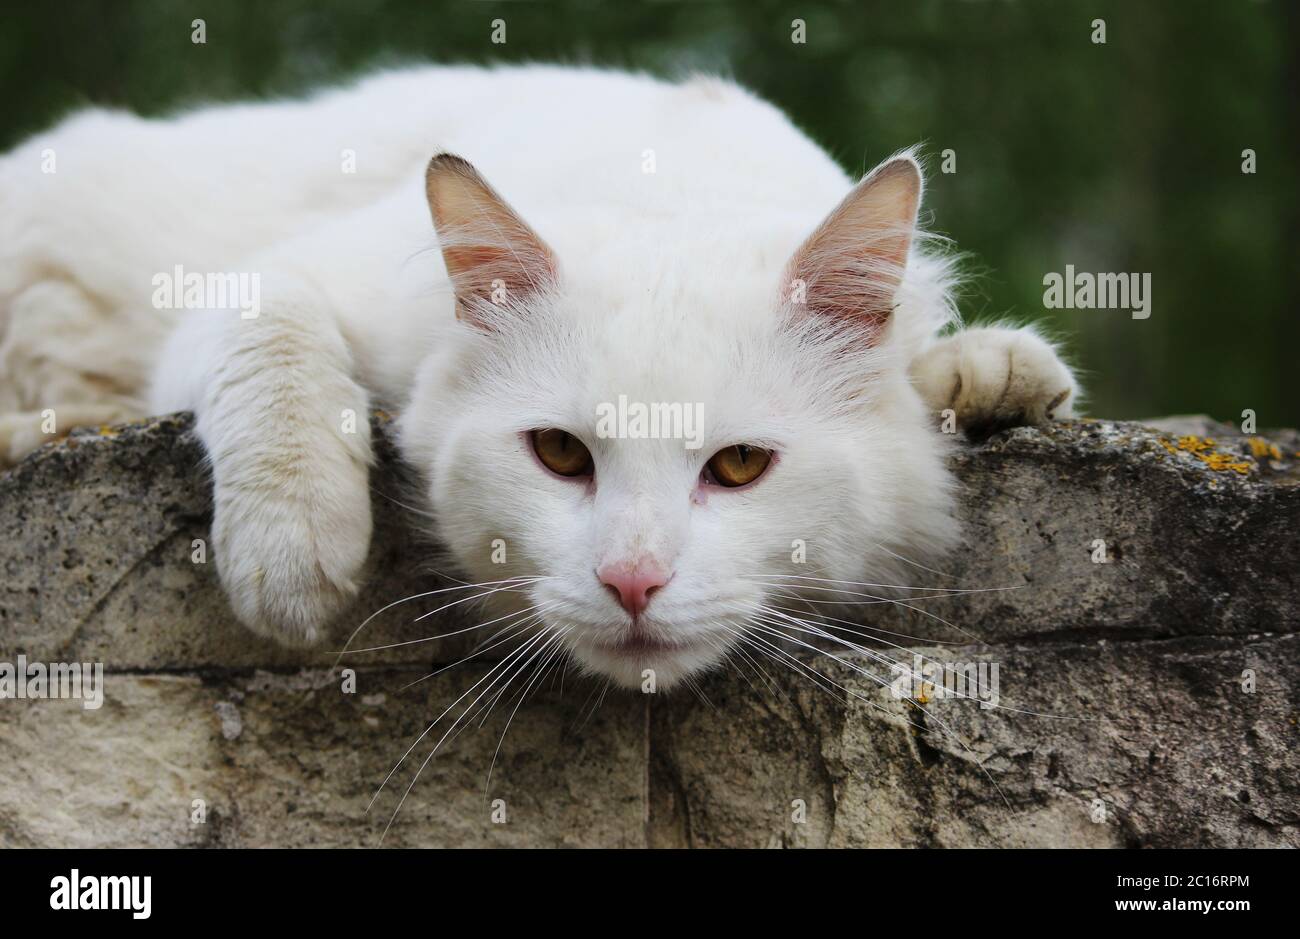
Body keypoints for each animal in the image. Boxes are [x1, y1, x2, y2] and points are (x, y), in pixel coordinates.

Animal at [2, 62, 1076, 681]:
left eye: (738, 467)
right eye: (560, 454)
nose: (633, 583)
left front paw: (990, 373)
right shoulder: (265, 281)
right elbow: (273, 340)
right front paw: (293, 551)